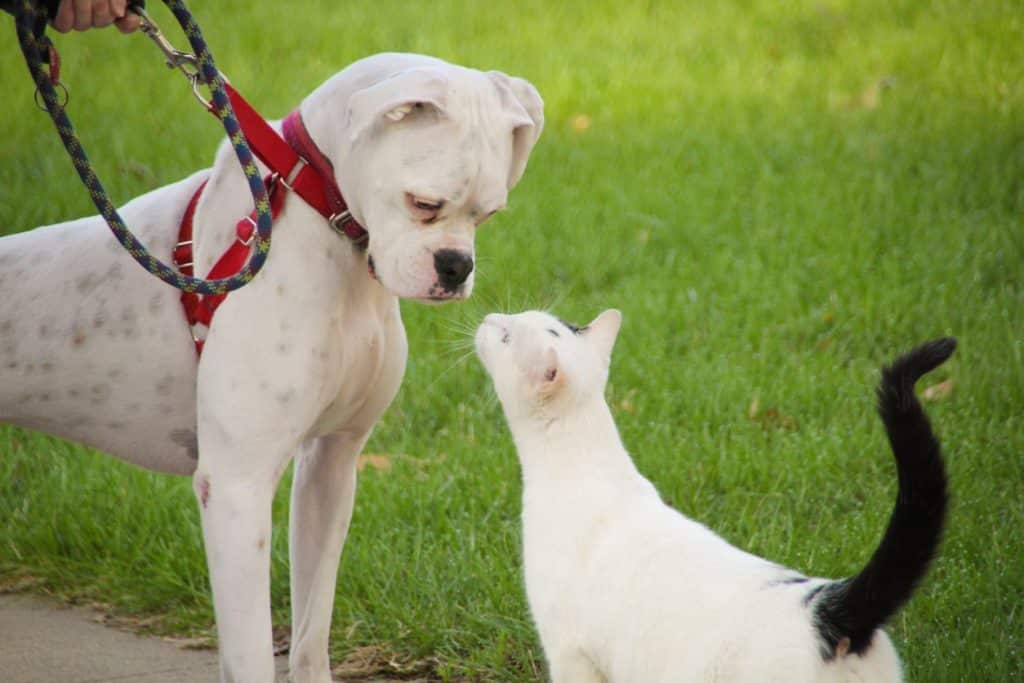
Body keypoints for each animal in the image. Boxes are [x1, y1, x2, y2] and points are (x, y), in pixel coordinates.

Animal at [0, 53, 544, 683]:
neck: (321, 220)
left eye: (489, 213)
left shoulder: (331, 465)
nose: (456, 266)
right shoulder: (236, 487)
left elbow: (310, 628)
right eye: (423, 203)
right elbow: (252, 649)